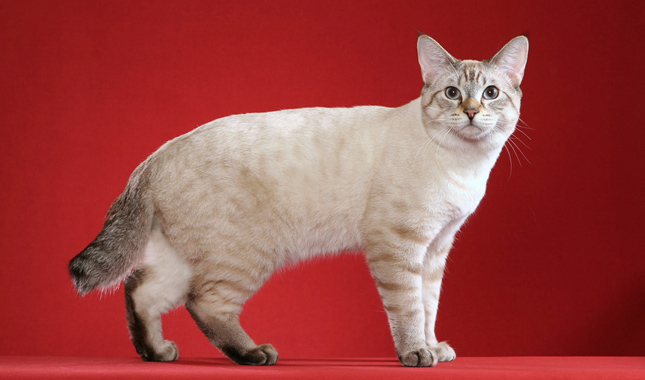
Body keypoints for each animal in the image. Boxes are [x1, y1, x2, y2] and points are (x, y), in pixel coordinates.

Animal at [68, 34, 528, 366]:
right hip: (246, 254)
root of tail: (155, 156)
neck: (465, 165)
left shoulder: (435, 247)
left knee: (141, 289)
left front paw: (434, 349)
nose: (471, 111)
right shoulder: (398, 244)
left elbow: (429, 304)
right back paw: (254, 354)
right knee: (202, 302)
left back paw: (158, 353)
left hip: (184, 256)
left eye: (490, 93)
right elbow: (409, 307)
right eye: (452, 94)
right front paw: (417, 354)